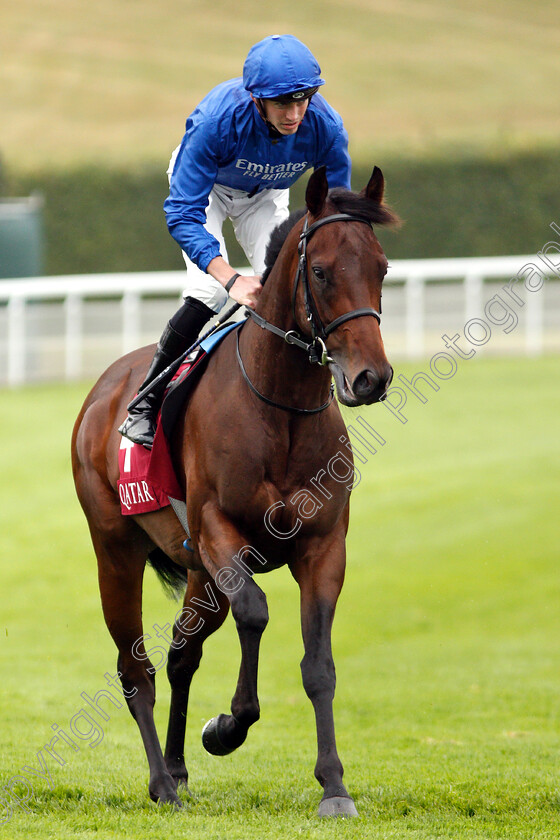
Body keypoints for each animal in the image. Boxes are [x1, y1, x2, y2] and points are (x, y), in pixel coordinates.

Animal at [72, 167, 398, 816]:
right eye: (321, 271)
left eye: (381, 268)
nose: (370, 378)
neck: (281, 409)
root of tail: (103, 390)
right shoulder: (221, 532)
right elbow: (255, 611)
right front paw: (228, 725)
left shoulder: (323, 546)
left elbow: (318, 663)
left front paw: (334, 785)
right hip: (116, 552)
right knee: (135, 669)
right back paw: (162, 783)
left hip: (198, 572)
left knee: (181, 653)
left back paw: (177, 768)